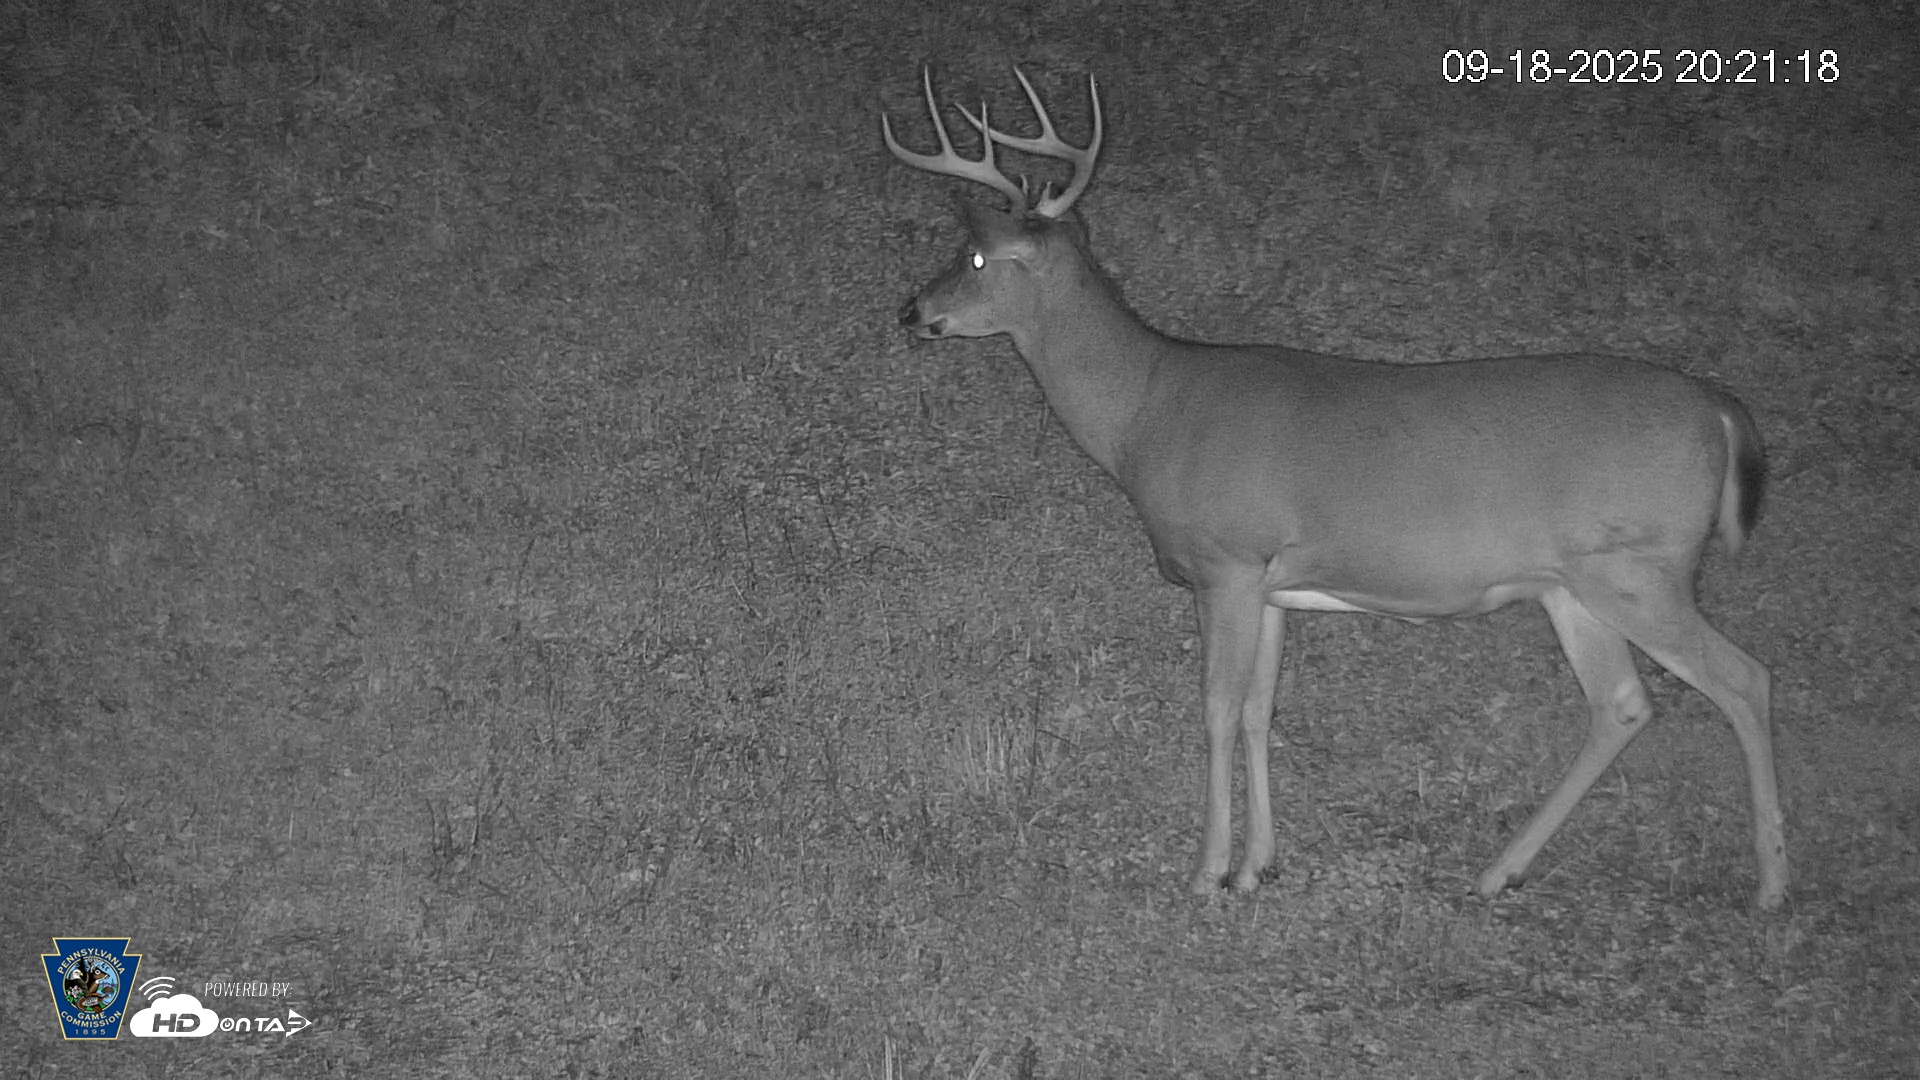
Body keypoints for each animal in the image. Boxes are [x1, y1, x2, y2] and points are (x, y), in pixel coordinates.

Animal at [882, 66, 1787, 910]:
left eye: (973, 257)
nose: (910, 310)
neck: (1146, 411)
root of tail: (1720, 409)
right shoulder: (1275, 585)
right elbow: (1259, 709)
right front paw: (1258, 865)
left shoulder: (1227, 561)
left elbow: (1215, 707)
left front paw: (1206, 871)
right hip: (1577, 585)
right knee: (1624, 704)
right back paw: (1499, 871)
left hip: (1642, 568)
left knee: (1744, 678)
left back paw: (1771, 884)